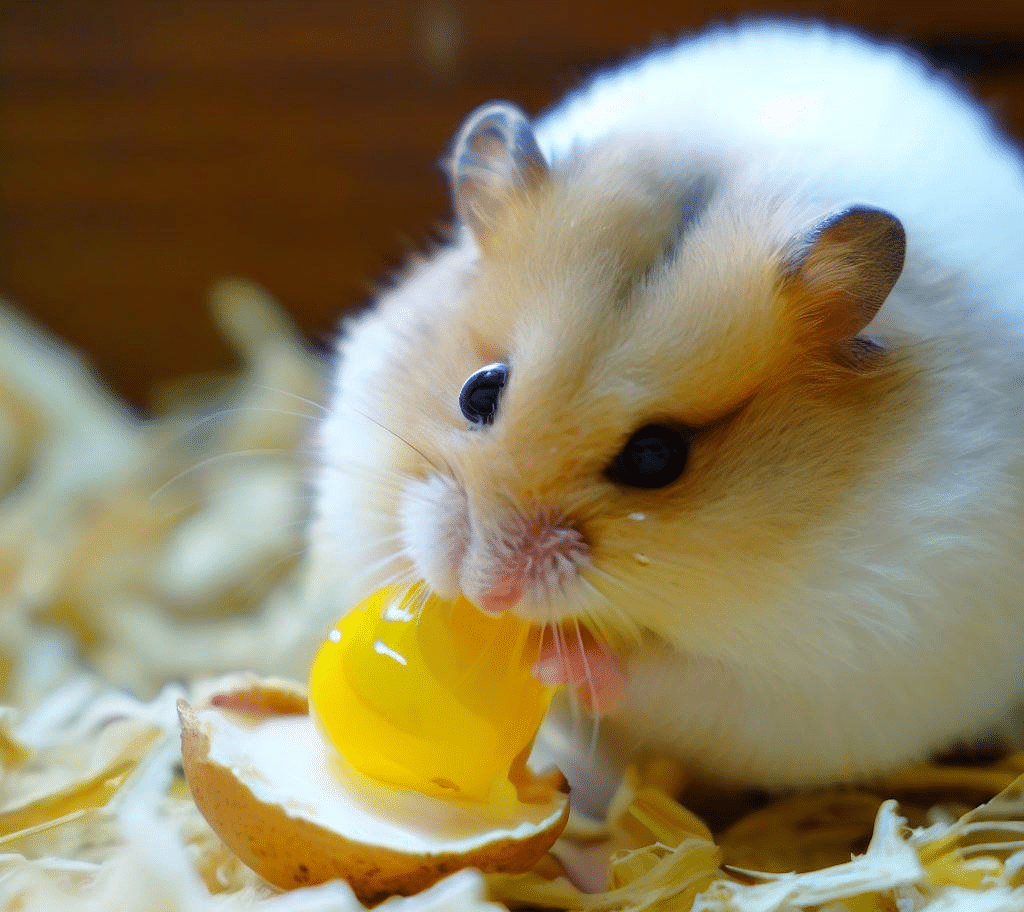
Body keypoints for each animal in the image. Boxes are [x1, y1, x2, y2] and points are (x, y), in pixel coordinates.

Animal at [307, 21, 1024, 790]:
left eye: (656, 458)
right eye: (479, 392)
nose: (485, 592)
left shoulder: (838, 655)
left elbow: (673, 683)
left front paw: (558, 660)